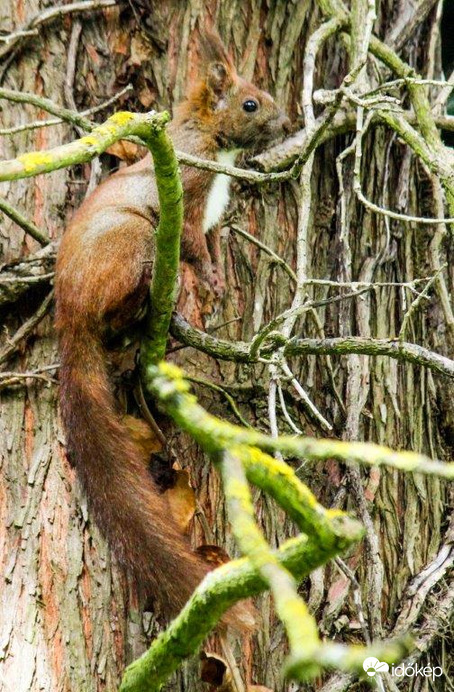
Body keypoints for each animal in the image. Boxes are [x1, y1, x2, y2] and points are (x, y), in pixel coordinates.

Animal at [55, 32, 290, 624]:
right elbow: (193, 245)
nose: (285, 121)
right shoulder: (186, 196)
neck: (211, 143)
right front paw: (206, 278)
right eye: (250, 103)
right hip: (132, 240)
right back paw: (152, 300)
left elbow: (207, 244)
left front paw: (214, 282)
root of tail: (69, 317)